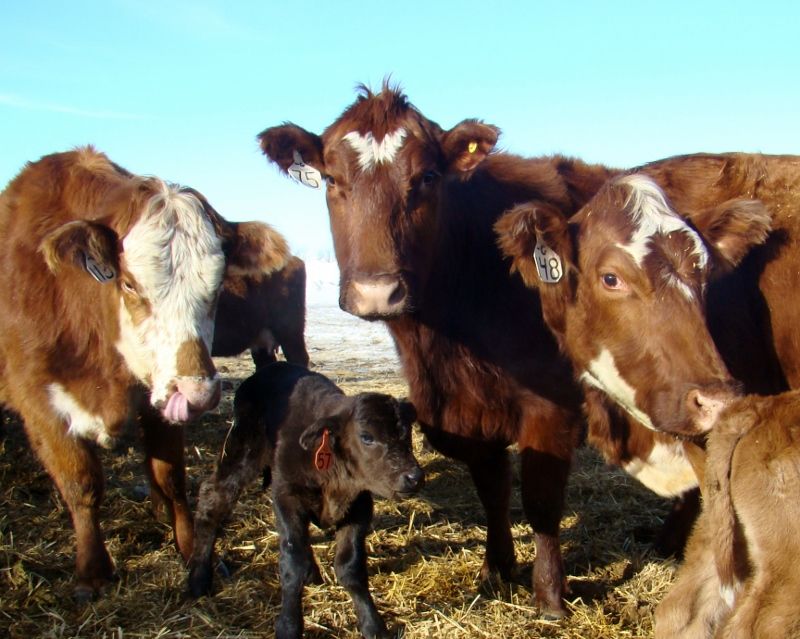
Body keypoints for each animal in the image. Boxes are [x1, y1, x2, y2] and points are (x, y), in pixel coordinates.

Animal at [0, 147, 291, 599]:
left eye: (218, 285)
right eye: (130, 284)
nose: (198, 391)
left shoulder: (160, 399)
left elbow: (171, 477)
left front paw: (191, 549)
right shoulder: (40, 404)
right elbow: (81, 483)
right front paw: (92, 571)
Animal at [187, 362, 423, 639]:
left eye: (406, 433)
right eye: (367, 437)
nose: (414, 477)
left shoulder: (359, 507)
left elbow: (350, 566)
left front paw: (372, 625)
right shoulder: (286, 498)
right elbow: (293, 562)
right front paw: (289, 626)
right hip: (241, 451)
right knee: (212, 497)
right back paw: (198, 578)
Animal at [258, 82, 621, 616]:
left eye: (426, 177)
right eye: (330, 179)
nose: (376, 292)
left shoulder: (551, 406)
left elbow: (540, 499)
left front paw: (550, 595)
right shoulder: (460, 414)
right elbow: (493, 489)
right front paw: (496, 569)